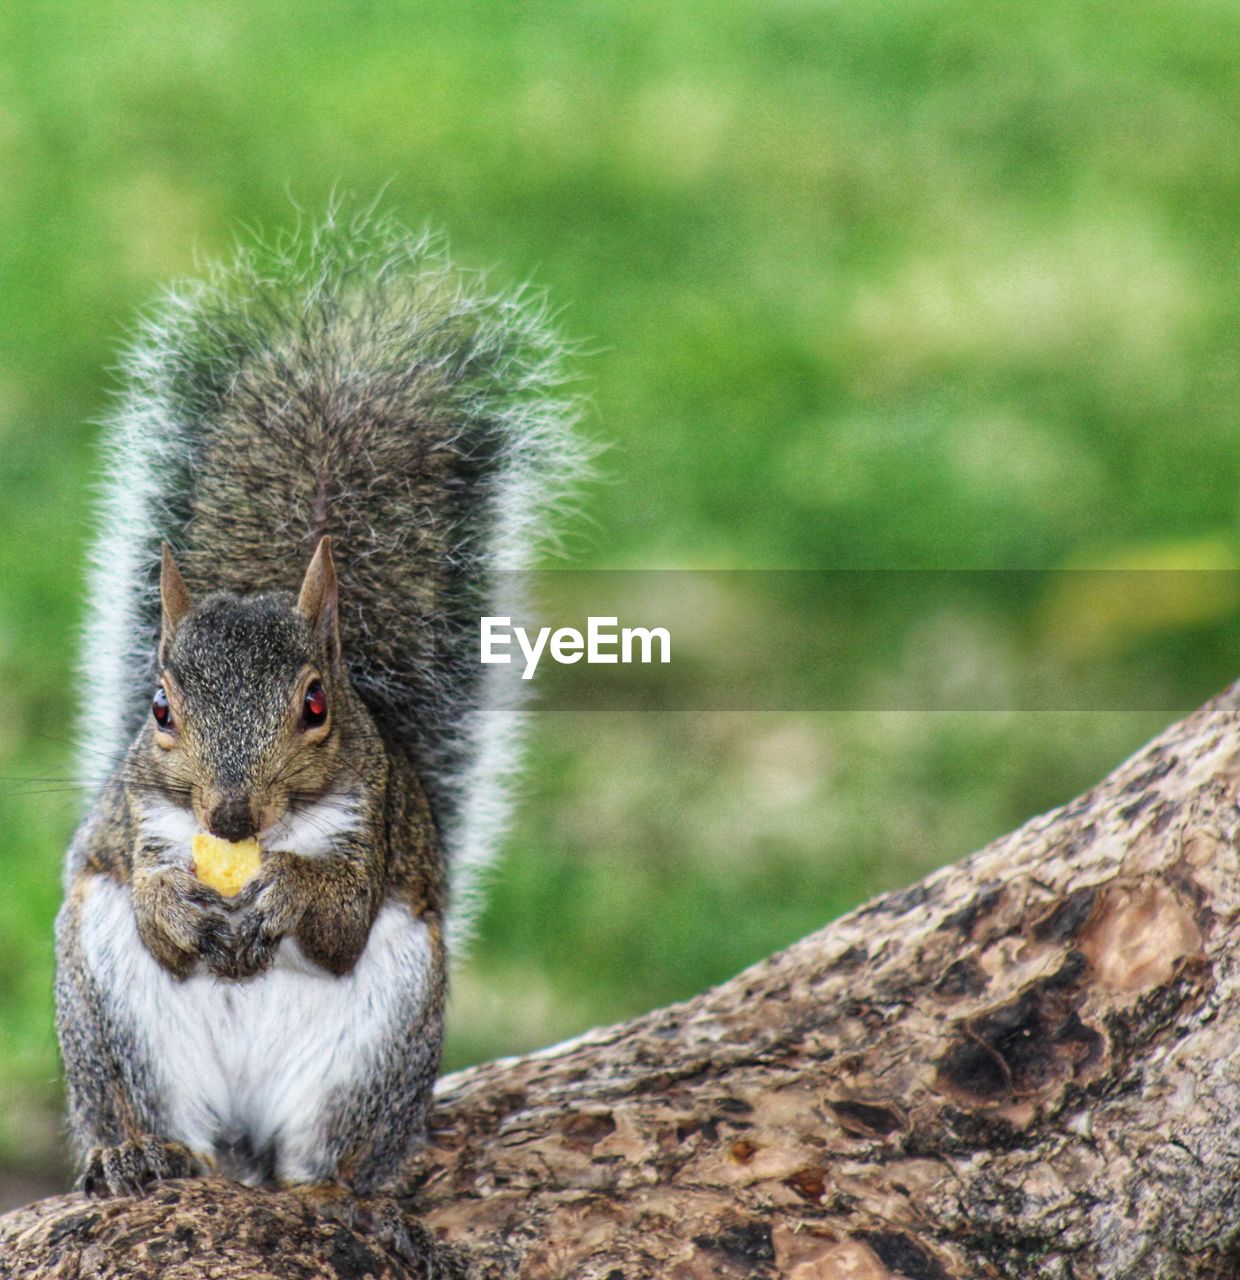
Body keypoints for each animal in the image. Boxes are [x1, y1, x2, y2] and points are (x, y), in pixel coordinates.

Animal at [53, 215, 586, 1233]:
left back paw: (338, 1190)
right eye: (160, 707)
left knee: (332, 1149)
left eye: (314, 704)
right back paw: (139, 1155)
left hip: (384, 1035)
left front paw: (292, 892)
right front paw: (176, 903)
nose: (228, 816)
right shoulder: (138, 824)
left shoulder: (368, 830)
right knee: (141, 1106)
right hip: (108, 1012)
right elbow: (153, 909)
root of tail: (242, 1142)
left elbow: (337, 920)